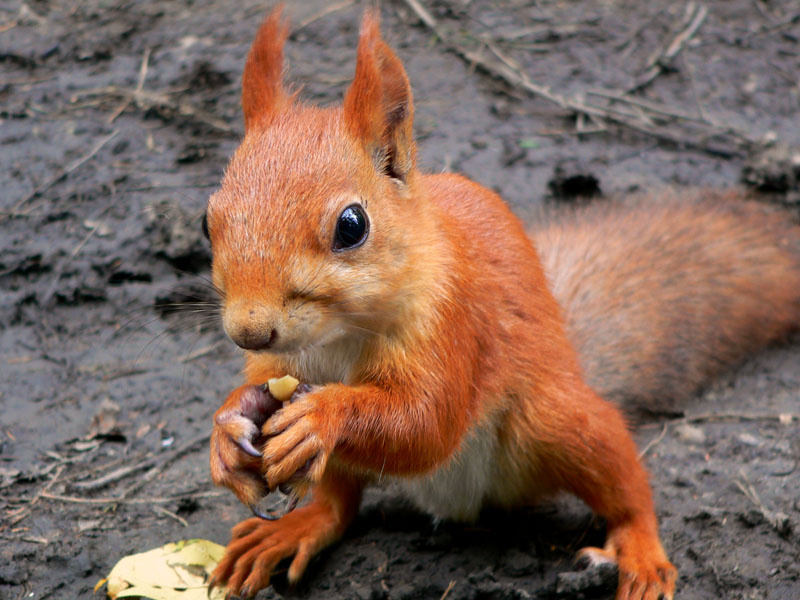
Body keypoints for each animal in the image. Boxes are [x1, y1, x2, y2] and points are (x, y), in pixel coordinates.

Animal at [204, 7, 800, 600]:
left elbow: (426, 423)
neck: (339, 337)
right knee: (338, 503)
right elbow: (266, 388)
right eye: (208, 221)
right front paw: (227, 426)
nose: (249, 330)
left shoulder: (455, 319)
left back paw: (640, 547)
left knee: (621, 475)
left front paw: (324, 415)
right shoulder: (282, 361)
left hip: (554, 422)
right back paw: (296, 526)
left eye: (352, 225)